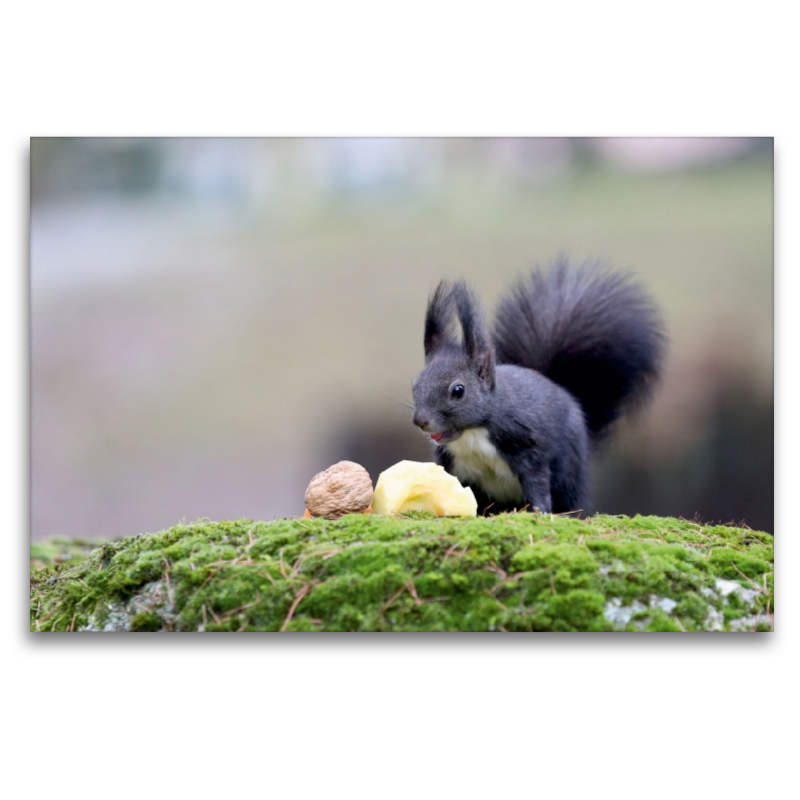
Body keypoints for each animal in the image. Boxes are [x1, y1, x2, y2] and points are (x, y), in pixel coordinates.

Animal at [410, 260, 664, 516]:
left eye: (458, 391)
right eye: (415, 384)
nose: (420, 421)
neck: (474, 432)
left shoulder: (527, 445)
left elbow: (536, 481)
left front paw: (539, 511)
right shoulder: (451, 463)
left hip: (568, 469)